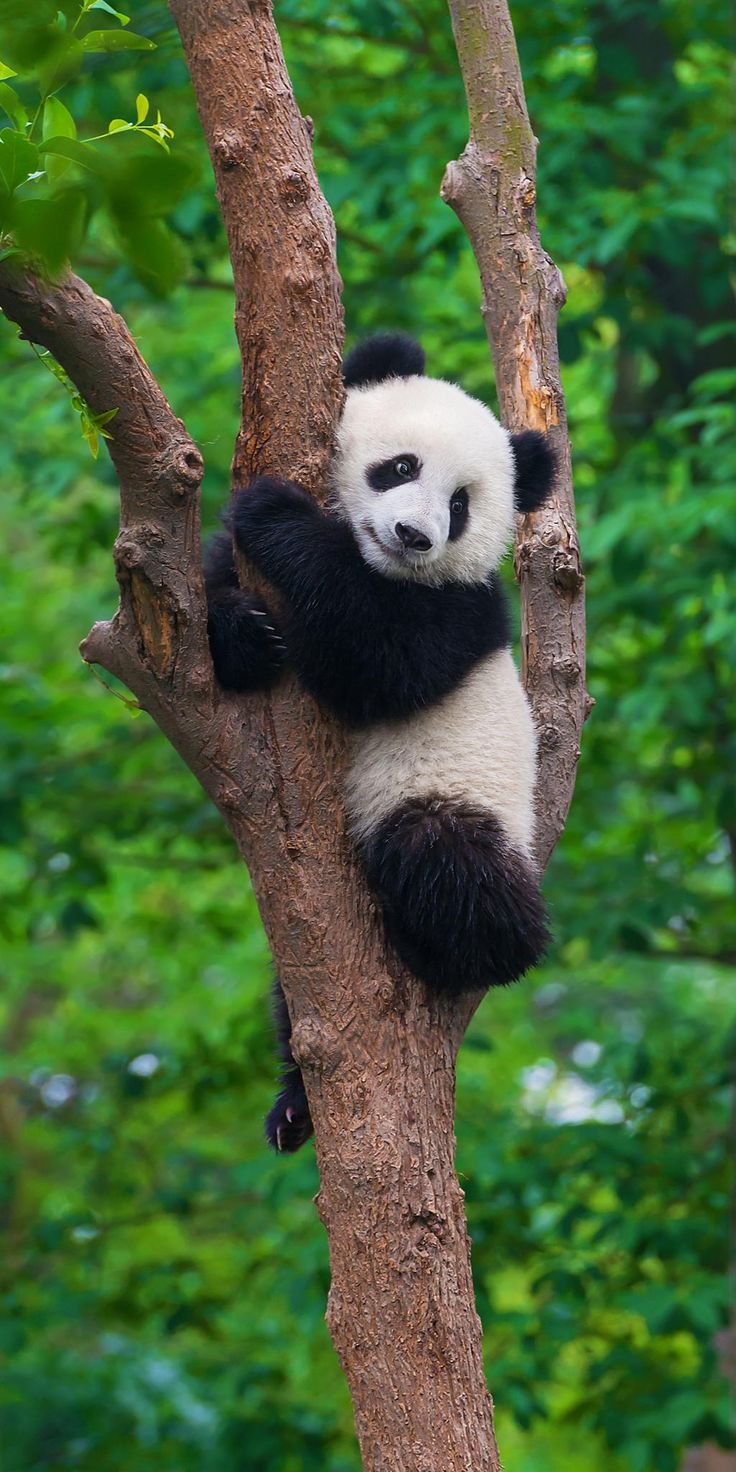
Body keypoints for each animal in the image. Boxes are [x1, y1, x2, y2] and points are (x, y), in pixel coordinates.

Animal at [204, 334, 553, 1148]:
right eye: (400, 467)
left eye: (460, 506)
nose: (414, 536)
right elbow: (209, 602)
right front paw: (245, 634)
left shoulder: (461, 609)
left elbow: (378, 657)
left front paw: (276, 513)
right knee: (289, 1001)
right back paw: (293, 1108)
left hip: (458, 801)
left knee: (447, 860)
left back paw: (456, 944)